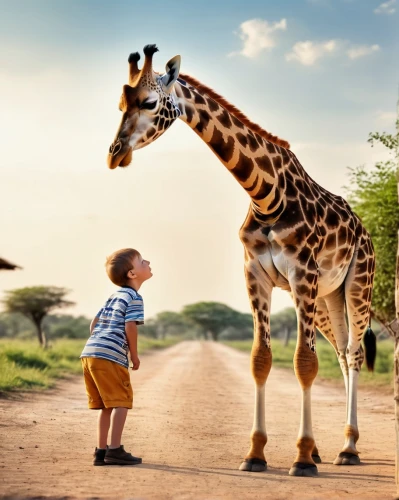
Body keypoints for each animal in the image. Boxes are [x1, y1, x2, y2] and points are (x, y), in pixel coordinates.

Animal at [108, 44, 376, 476]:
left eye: (149, 102)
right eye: (119, 104)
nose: (115, 154)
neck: (266, 194)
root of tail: (364, 232)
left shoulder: (302, 273)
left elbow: (303, 361)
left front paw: (301, 457)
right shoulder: (255, 275)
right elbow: (260, 359)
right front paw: (256, 453)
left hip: (356, 284)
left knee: (353, 352)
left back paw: (349, 448)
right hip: (326, 298)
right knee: (338, 353)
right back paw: (333, 446)